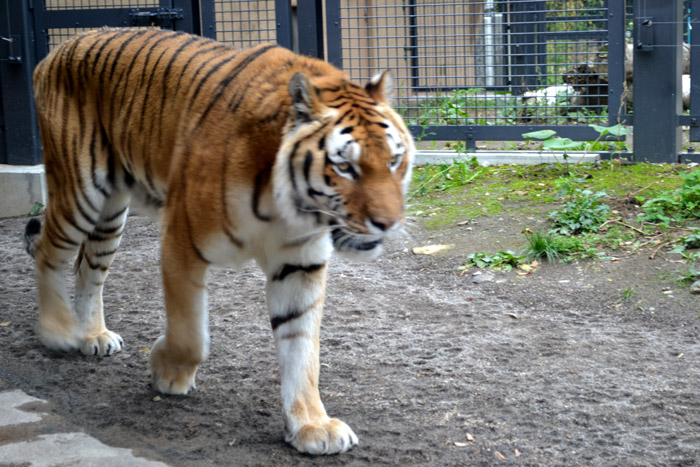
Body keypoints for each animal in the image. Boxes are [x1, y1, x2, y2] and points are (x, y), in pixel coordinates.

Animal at [24, 27, 412, 456]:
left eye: (394, 160)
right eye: (345, 166)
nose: (388, 223)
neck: (287, 205)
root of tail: (59, 48)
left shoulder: (300, 264)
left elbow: (302, 349)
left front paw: (311, 426)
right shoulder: (180, 240)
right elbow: (191, 335)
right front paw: (167, 371)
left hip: (110, 215)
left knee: (87, 269)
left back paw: (92, 335)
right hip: (79, 192)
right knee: (48, 252)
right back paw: (59, 331)